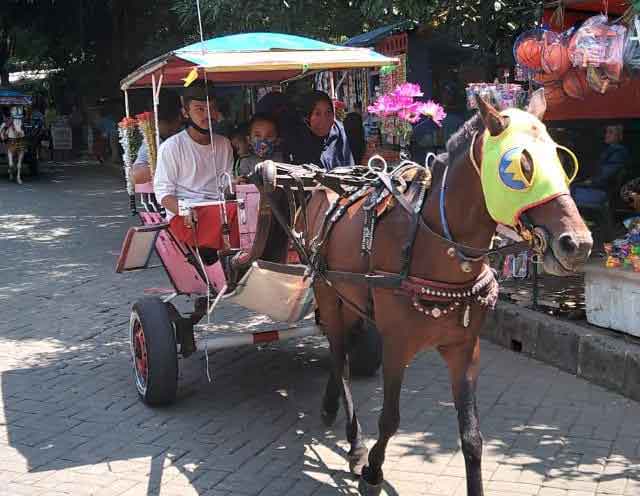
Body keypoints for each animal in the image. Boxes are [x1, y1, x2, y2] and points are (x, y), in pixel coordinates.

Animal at [302, 90, 592, 496]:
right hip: (328, 293)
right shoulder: (397, 344)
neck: (433, 244)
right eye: (520, 169)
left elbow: (472, 436)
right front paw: (372, 472)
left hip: (352, 299)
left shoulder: (464, 348)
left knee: (340, 349)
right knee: (339, 355)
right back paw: (355, 443)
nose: (578, 244)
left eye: (562, 162)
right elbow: (390, 419)